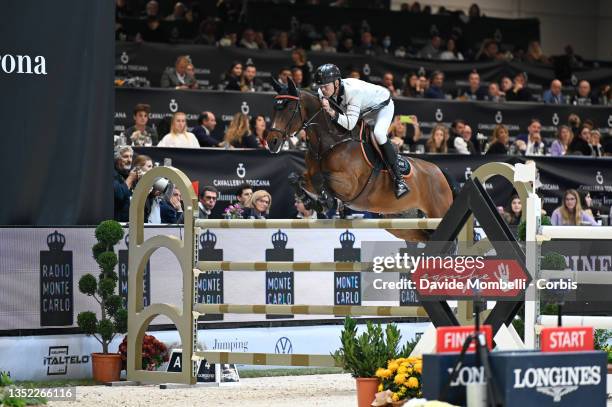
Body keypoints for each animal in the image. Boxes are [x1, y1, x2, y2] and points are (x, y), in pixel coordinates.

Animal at [268, 79, 454, 242]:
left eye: (289, 107)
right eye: (274, 107)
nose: (272, 142)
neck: (329, 142)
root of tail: (439, 171)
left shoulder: (350, 185)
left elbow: (321, 177)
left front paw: (326, 202)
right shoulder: (310, 176)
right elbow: (294, 177)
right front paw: (310, 202)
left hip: (438, 211)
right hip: (399, 220)